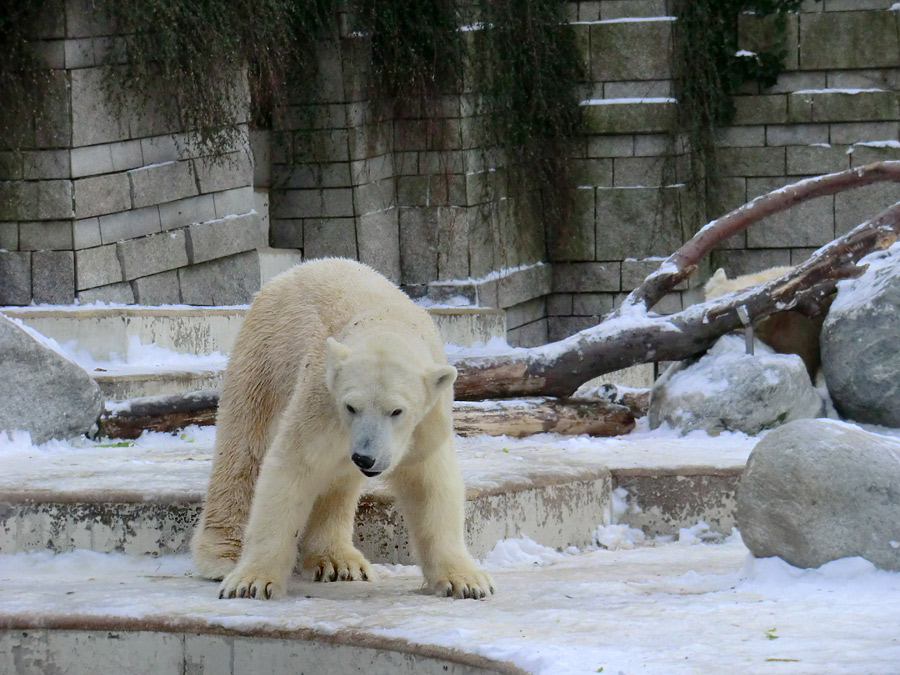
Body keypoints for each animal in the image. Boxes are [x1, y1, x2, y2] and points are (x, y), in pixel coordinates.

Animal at [191, 260, 496, 604]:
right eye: (351, 406)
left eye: (396, 411)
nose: (365, 457)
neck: (387, 322)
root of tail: (288, 273)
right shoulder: (321, 402)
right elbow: (292, 469)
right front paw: (251, 582)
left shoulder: (426, 423)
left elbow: (429, 486)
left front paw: (467, 581)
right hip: (264, 357)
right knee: (243, 448)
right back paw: (223, 555)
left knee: (337, 481)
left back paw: (338, 561)